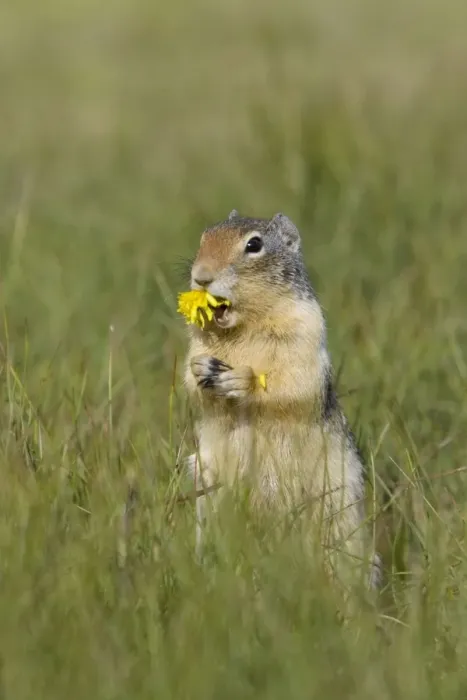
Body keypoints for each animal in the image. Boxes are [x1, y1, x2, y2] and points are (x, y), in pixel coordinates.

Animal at [183, 210, 380, 587]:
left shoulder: (304, 332)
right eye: (203, 237)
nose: (201, 277)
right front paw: (201, 370)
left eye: (254, 245)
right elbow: (191, 383)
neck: (243, 326)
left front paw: (242, 379)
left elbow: (292, 383)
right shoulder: (198, 342)